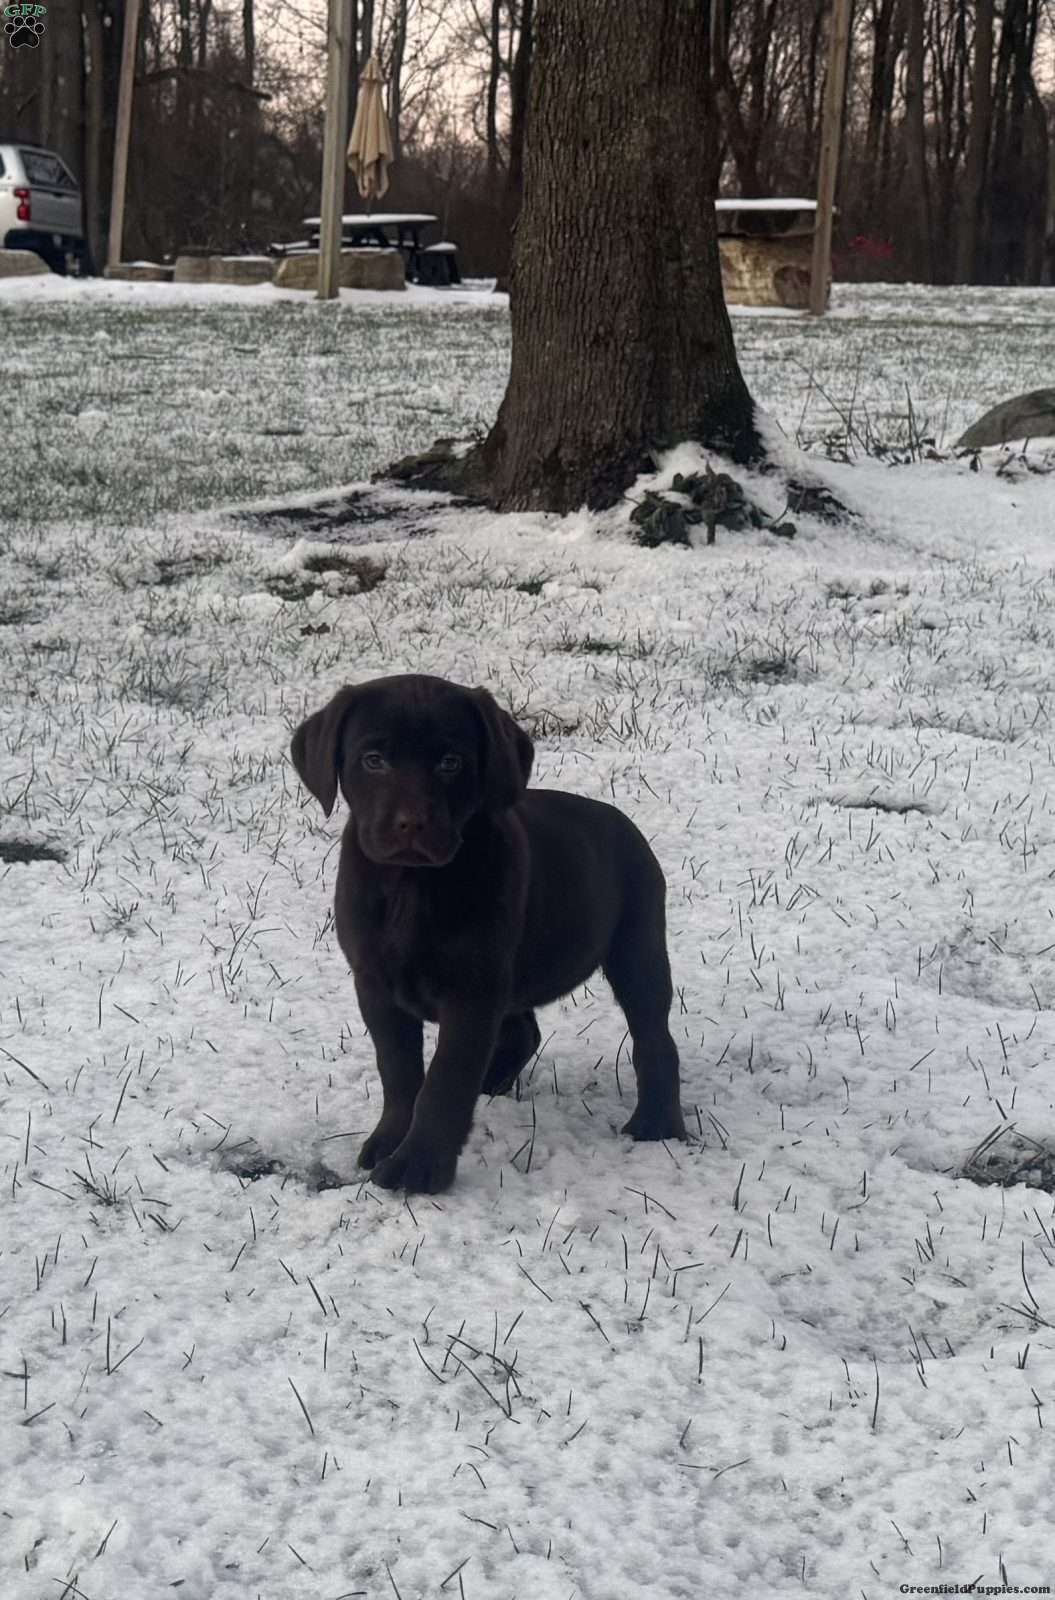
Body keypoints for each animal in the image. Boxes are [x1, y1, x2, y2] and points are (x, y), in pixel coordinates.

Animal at [291, 673, 686, 1192]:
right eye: (373, 759)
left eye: (450, 761)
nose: (411, 823)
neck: (413, 887)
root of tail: (624, 823)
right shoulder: (376, 984)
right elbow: (399, 1071)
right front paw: (391, 1139)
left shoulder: (472, 991)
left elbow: (444, 1080)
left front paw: (418, 1166)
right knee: (523, 1031)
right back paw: (492, 1084)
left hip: (636, 947)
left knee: (654, 1038)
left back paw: (657, 1125)